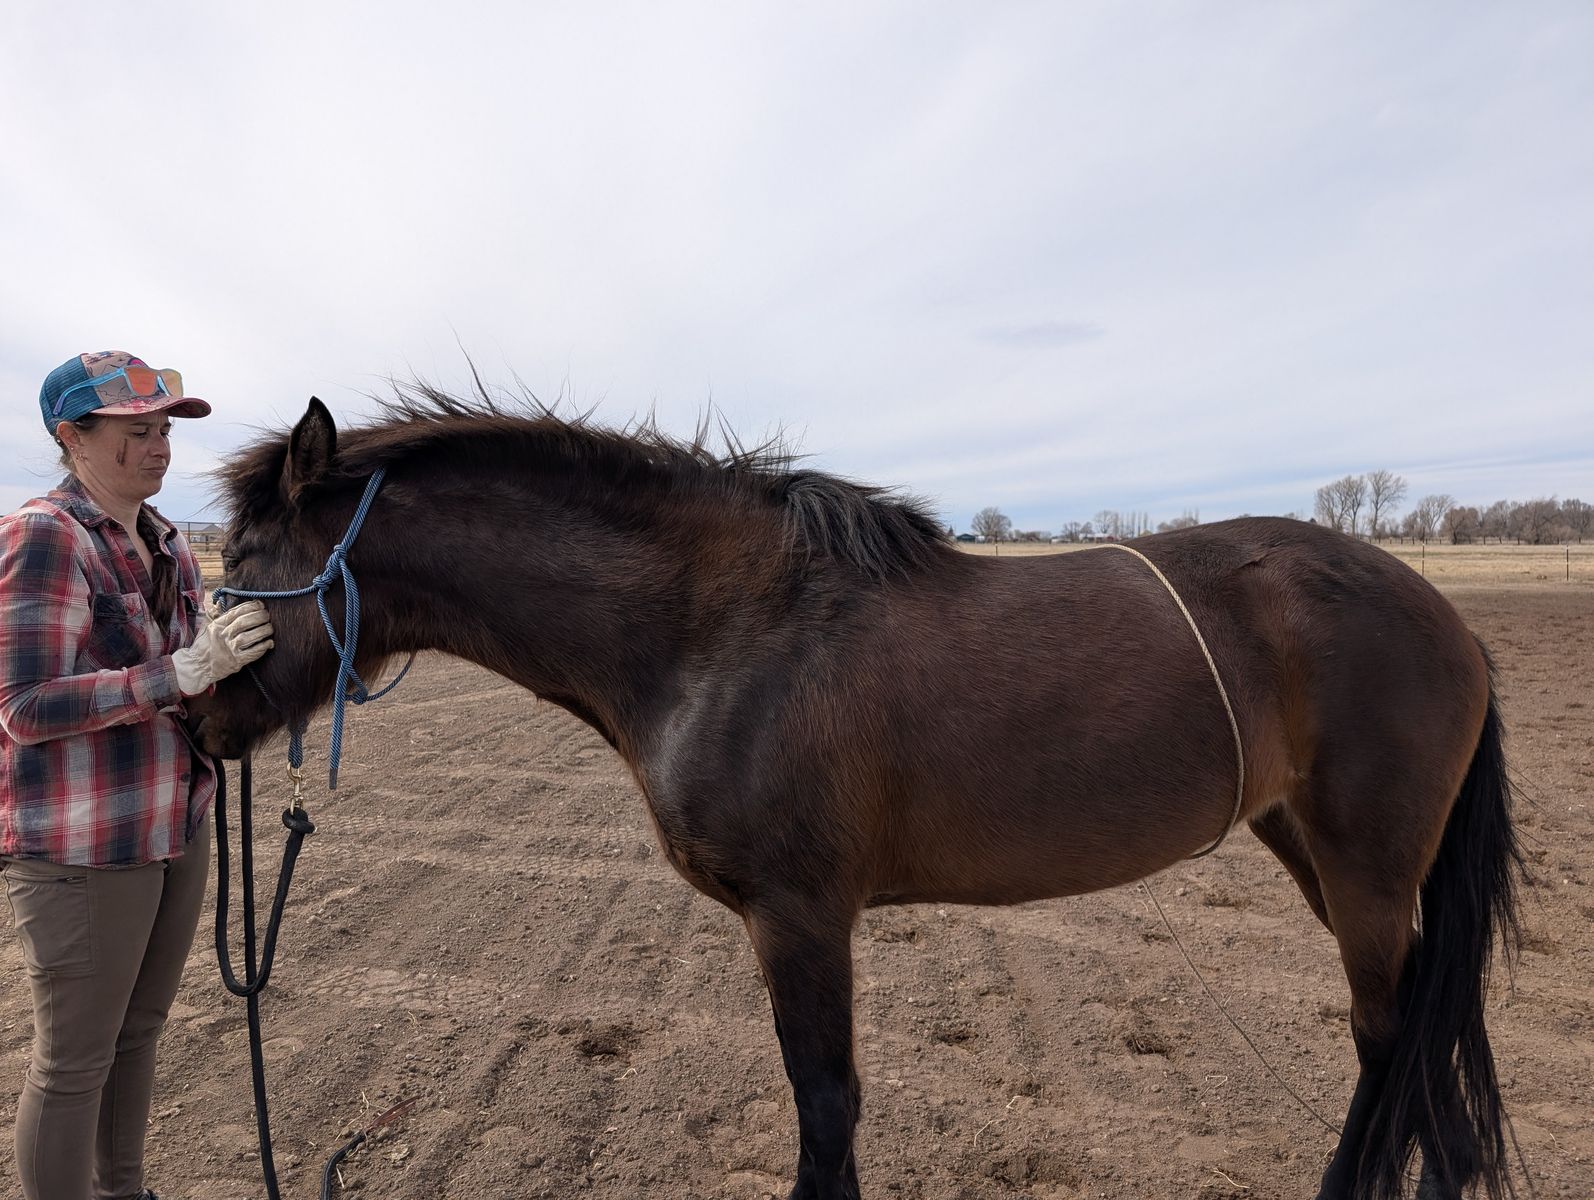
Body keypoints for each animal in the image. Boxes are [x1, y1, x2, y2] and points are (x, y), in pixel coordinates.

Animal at [192, 389, 1521, 1200]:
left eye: (246, 558)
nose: (192, 718)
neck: (718, 629)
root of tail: (1444, 615)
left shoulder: (800, 917)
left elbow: (824, 1107)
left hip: (1364, 871)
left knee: (1391, 1042)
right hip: (1310, 848)